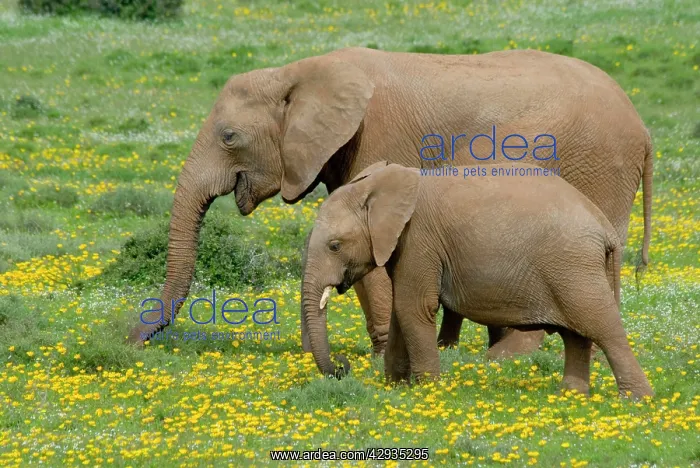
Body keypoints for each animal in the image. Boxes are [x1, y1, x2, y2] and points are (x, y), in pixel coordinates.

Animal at [126, 47, 653, 360]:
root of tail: (643, 129)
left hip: (597, 165)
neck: (298, 71)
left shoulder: (378, 136)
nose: (126, 344)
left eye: (229, 137)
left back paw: (506, 357)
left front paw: (383, 356)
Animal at [301, 161, 654, 399]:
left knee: (601, 326)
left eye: (335, 246)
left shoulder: (419, 239)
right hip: (571, 269)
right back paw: (570, 396)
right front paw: (396, 387)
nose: (342, 366)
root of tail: (604, 227)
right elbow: (401, 309)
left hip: (573, 267)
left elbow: (414, 307)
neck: (381, 183)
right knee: (576, 334)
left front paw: (428, 391)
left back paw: (636, 400)